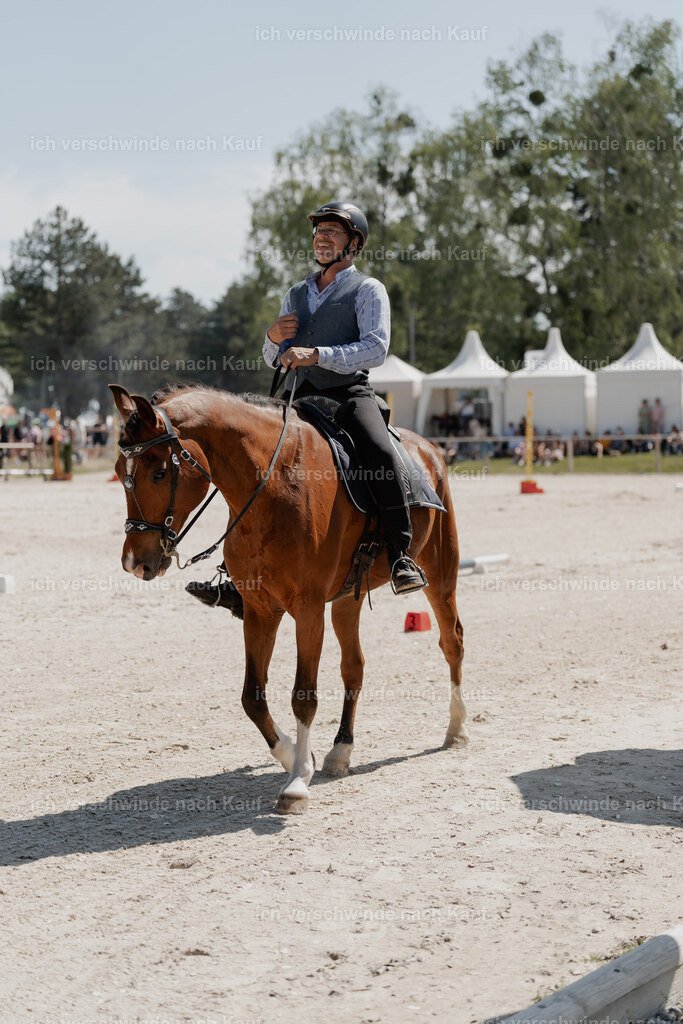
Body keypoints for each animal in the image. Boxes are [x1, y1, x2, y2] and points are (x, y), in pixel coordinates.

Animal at [109, 382, 467, 814]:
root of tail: (429, 448)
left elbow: (303, 697)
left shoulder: (308, 610)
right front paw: (296, 755)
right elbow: (252, 698)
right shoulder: (260, 611)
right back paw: (339, 753)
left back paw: (456, 729)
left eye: (160, 472)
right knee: (354, 667)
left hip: (440, 575)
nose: (134, 563)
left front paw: (297, 782)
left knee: (452, 642)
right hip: (346, 599)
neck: (272, 484)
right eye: (118, 472)